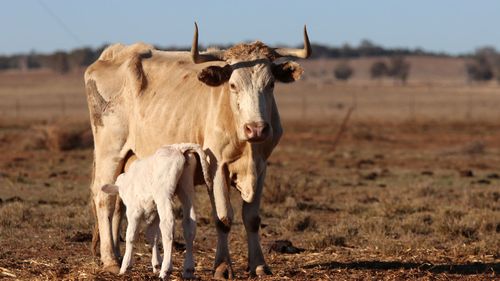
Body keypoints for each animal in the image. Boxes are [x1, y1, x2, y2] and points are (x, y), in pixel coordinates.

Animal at [100, 143, 212, 278]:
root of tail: (177, 147)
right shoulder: (154, 213)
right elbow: (152, 235)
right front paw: (156, 264)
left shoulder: (134, 211)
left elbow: (131, 235)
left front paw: (125, 266)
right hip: (186, 188)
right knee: (189, 225)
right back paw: (188, 270)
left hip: (163, 194)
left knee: (168, 225)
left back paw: (165, 270)